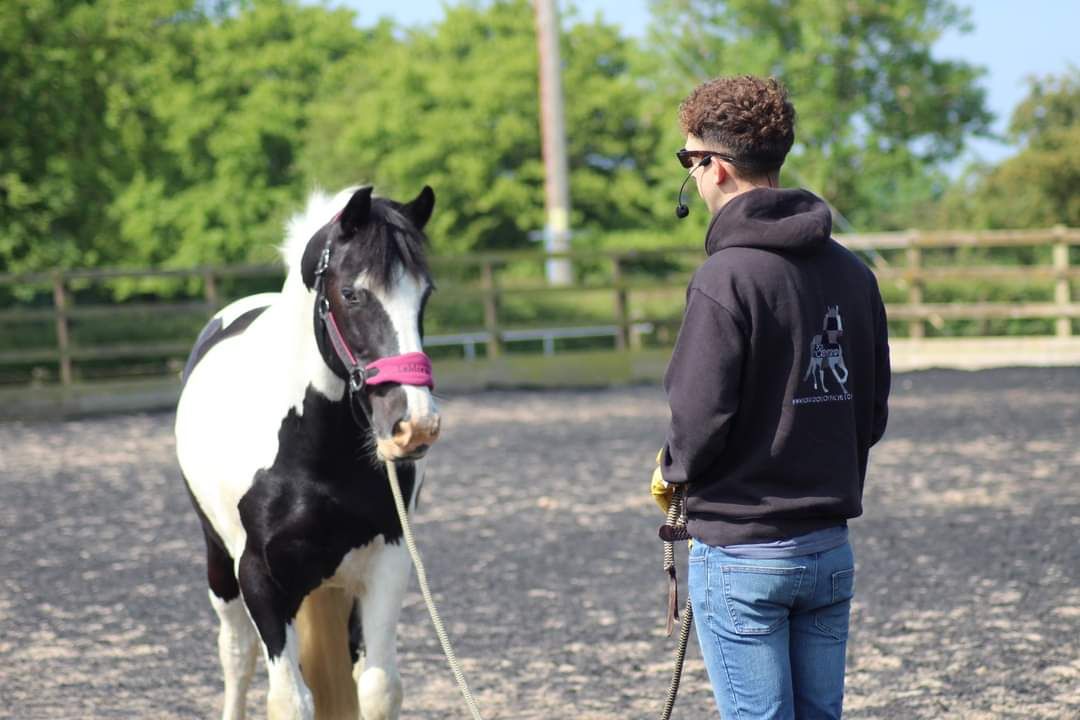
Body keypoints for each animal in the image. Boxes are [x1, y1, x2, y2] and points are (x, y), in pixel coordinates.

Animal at [174, 185, 436, 720]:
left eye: (426, 294)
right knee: (237, 655)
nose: (414, 425)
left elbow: (378, 688)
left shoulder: (388, 562)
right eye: (352, 294)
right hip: (220, 566)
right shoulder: (259, 577)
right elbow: (289, 700)